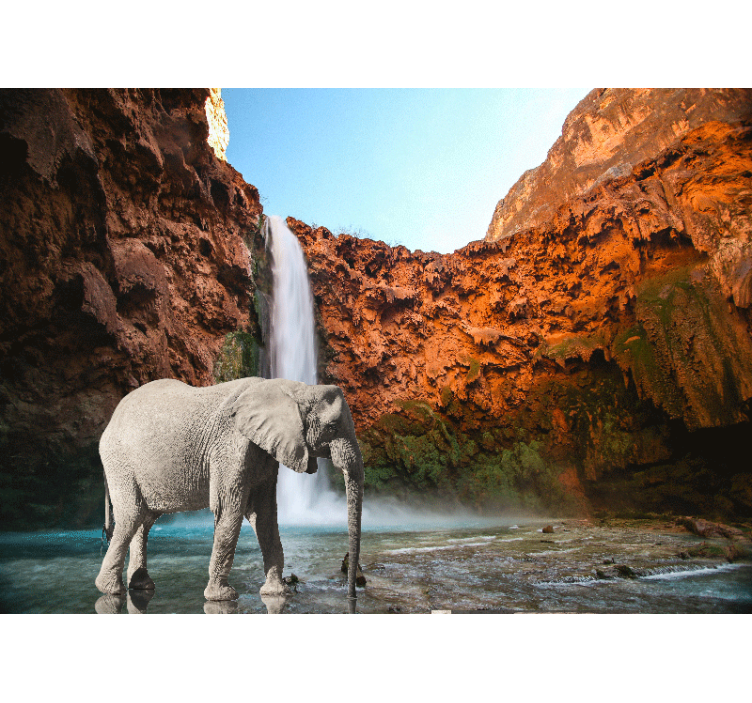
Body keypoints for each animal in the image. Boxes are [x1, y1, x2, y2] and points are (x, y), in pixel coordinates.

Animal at [95, 376, 364, 602]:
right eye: (332, 427)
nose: (351, 595)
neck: (292, 388)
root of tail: (110, 422)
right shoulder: (230, 445)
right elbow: (229, 510)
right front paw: (222, 597)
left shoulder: (263, 451)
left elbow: (265, 515)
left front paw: (277, 593)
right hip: (120, 460)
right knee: (131, 515)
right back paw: (109, 589)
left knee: (145, 520)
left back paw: (141, 586)